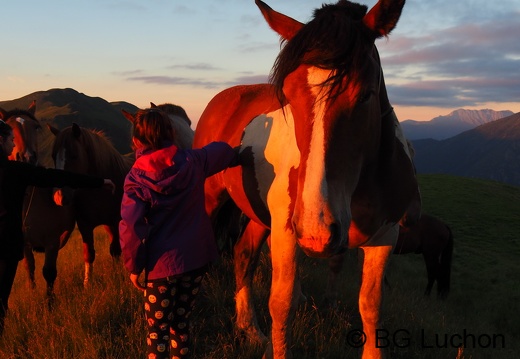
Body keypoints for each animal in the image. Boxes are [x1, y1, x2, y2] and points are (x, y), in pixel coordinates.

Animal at [193, 1, 420, 358]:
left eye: (366, 95)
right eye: (287, 94)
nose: (318, 231)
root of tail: (226, 98)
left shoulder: (386, 234)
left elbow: (370, 306)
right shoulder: (288, 230)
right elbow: (281, 303)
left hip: (261, 217)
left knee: (243, 256)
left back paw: (250, 329)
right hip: (211, 197)